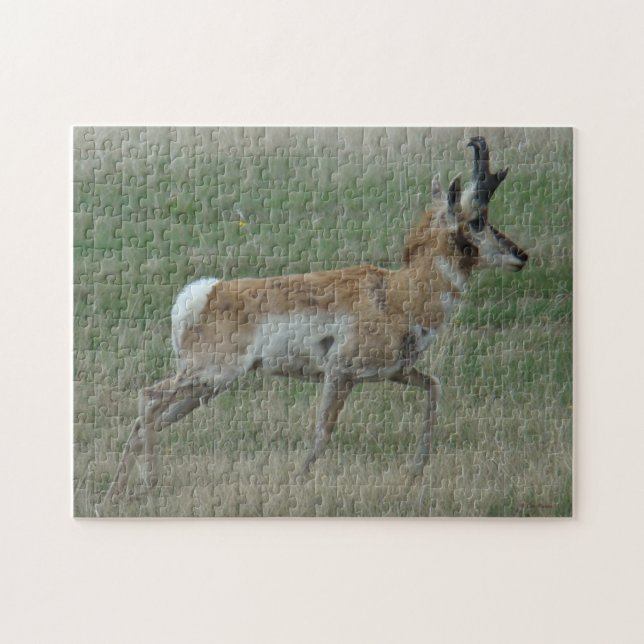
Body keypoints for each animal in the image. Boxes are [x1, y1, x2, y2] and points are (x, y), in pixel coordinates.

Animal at [100, 136, 528, 511]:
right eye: (478, 220)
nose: (521, 255)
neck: (397, 293)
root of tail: (206, 293)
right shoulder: (340, 372)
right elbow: (323, 432)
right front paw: (298, 480)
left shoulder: (395, 372)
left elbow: (434, 387)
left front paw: (415, 472)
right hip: (210, 375)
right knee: (148, 398)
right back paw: (148, 485)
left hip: (206, 386)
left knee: (147, 419)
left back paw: (114, 495)